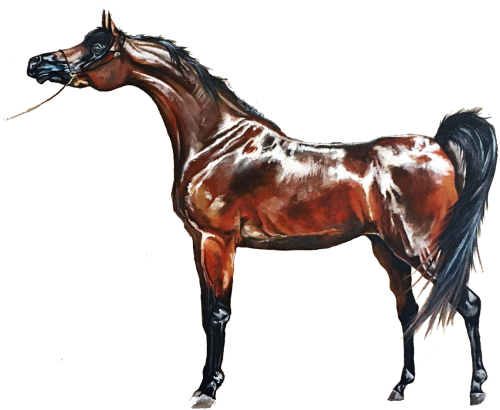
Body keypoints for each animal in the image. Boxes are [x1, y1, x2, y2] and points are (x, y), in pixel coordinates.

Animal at [24, 10, 497, 409]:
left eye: (99, 46)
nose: (37, 64)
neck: (216, 141)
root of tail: (437, 145)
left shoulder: (218, 241)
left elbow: (217, 313)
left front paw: (206, 392)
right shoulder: (200, 242)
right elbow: (207, 312)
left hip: (422, 247)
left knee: (469, 303)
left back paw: (476, 388)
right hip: (387, 248)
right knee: (409, 313)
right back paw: (400, 387)